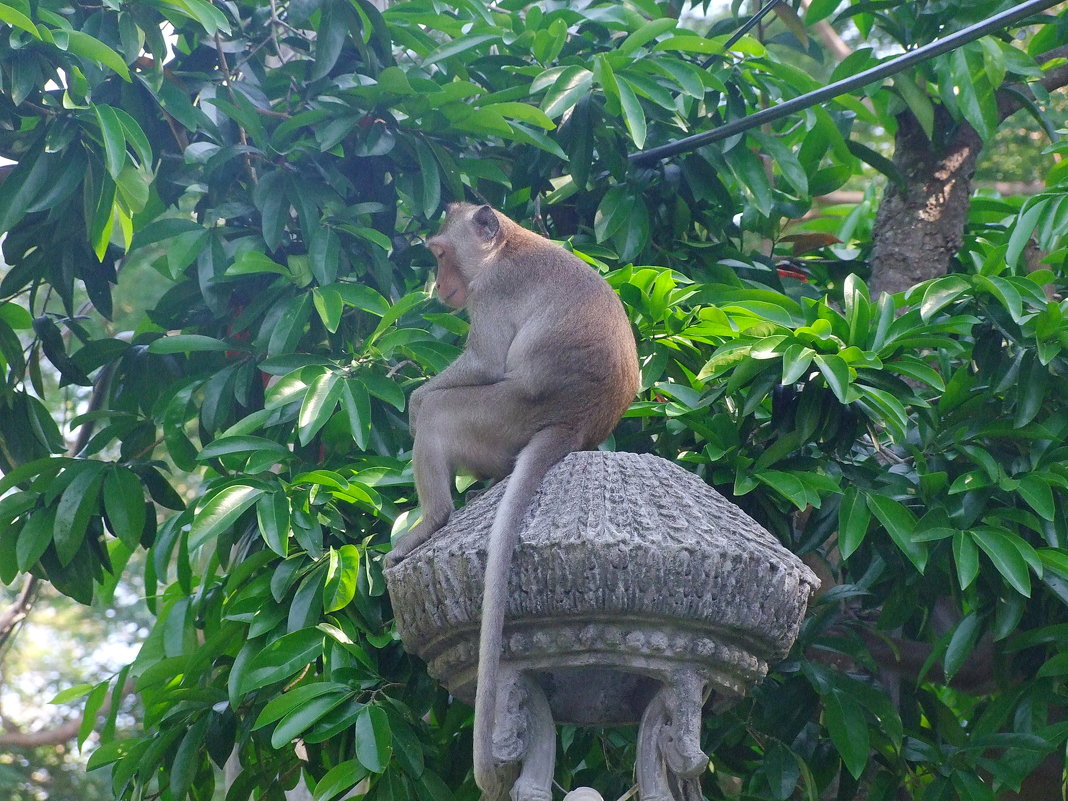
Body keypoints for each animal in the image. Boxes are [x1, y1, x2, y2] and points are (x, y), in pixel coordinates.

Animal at [393, 203, 640, 798]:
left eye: (440, 254)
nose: (439, 285)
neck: (506, 247)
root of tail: (572, 425)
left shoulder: (493, 293)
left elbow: (481, 361)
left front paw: (416, 399)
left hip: (504, 416)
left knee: (443, 415)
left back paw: (430, 519)